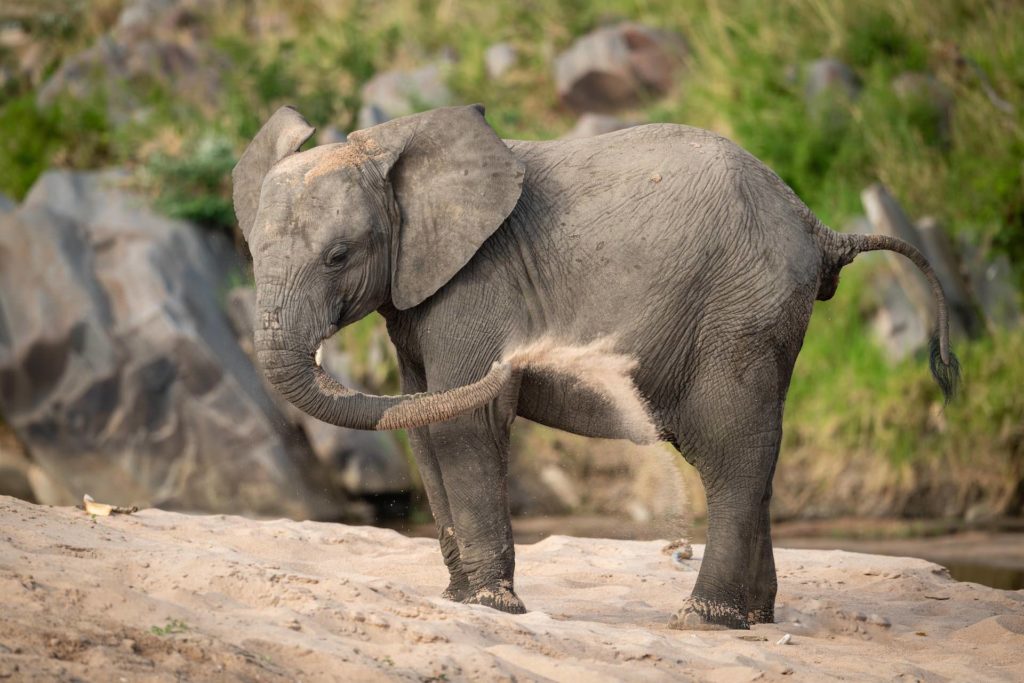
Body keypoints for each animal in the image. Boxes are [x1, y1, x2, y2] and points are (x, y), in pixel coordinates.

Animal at [232, 104, 959, 629]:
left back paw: (705, 619)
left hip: (741, 313)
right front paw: (460, 600)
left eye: (338, 256)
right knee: (755, 458)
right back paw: (754, 617)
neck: (385, 146)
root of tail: (816, 224)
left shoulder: (477, 285)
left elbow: (469, 419)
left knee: (733, 449)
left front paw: (491, 607)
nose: (530, 355)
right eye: (252, 254)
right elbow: (422, 421)